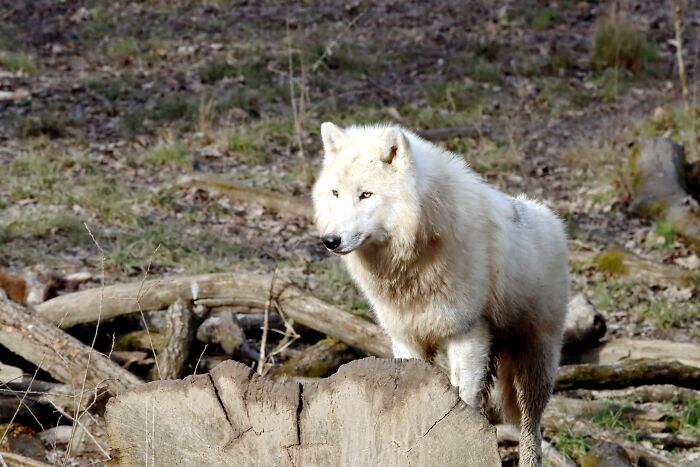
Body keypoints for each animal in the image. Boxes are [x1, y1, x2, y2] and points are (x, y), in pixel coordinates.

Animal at [312, 122, 569, 467]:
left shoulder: (468, 333)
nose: (330, 240)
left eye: (365, 194)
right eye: (335, 193)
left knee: (531, 429)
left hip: (535, 362)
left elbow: (463, 401)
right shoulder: (406, 338)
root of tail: (552, 219)